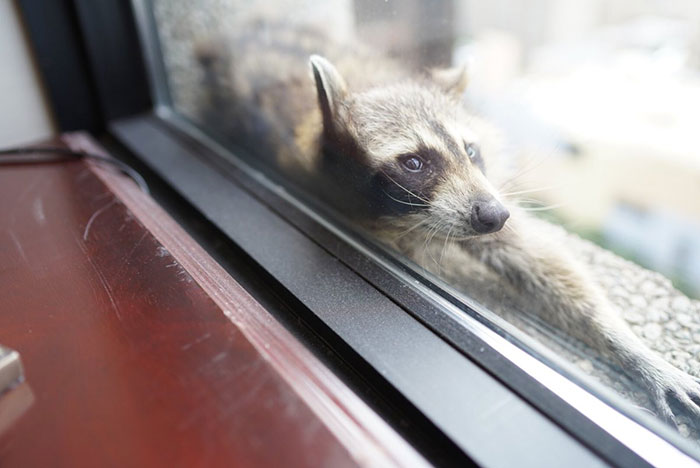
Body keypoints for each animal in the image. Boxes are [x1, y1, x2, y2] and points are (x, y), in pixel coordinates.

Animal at [195, 21, 700, 426]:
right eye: (415, 162)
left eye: (470, 151)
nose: (495, 215)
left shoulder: (483, 193)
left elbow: (540, 259)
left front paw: (632, 348)